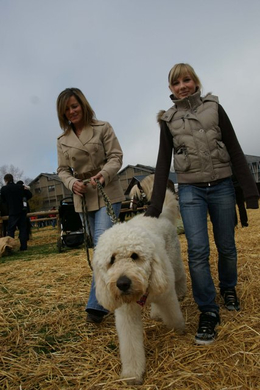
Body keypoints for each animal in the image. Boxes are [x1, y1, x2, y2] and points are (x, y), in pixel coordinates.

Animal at [92, 175, 186, 386]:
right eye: (111, 260)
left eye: (134, 256)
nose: (122, 283)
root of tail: (158, 215)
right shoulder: (126, 314)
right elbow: (131, 346)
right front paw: (132, 374)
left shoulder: (166, 292)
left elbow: (174, 315)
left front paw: (180, 329)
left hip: (173, 265)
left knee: (180, 277)